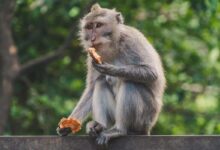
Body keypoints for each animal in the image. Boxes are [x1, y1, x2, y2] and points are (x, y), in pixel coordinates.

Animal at [56, 3, 165, 144]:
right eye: (89, 27)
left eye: (98, 25)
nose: (92, 38)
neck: (112, 44)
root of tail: (148, 128)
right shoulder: (91, 56)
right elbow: (91, 88)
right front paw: (69, 125)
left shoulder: (131, 41)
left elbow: (151, 73)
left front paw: (110, 69)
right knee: (101, 83)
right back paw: (99, 126)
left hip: (145, 118)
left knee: (129, 83)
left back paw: (119, 130)